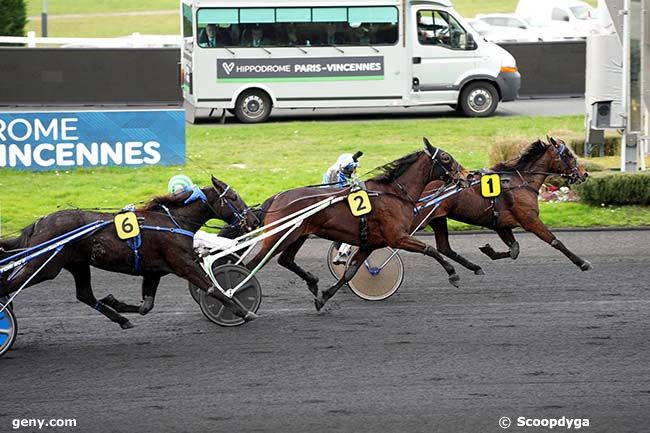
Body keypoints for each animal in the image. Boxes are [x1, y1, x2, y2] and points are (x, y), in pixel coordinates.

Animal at [0, 176, 258, 328]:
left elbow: (146, 306)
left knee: (85, 295)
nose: (254, 220)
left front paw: (115, 301)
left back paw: (122, 319)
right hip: (43, 266)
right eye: (234, 197)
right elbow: (213, 287)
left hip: (77, 264)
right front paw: (243, 311)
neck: (173, 221)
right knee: (8, 285)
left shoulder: (153, 271)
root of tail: (40, 223)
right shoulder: (184, 265)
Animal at [246, 138, 468, 310]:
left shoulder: (370, 244)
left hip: (298, 235)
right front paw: (453, 274)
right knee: (251, 266)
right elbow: (430, 249)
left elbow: (349, 272)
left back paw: (312, 282)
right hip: (278, 237)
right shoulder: (397, 238)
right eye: (446, 157)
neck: (394, 194)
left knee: (285, 260)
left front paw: (324, 297)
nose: (467, 175)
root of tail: (274, 199)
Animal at [412, 137, 588, 274]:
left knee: (444, 248)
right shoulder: (530, 220)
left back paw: (474, 267)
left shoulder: (501, 224)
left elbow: (514, 249)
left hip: (437, 218)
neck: (520, 182)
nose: (584, 173)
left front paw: (488, 250)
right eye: (568, 155)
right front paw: (582, 262)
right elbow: (555, 241)